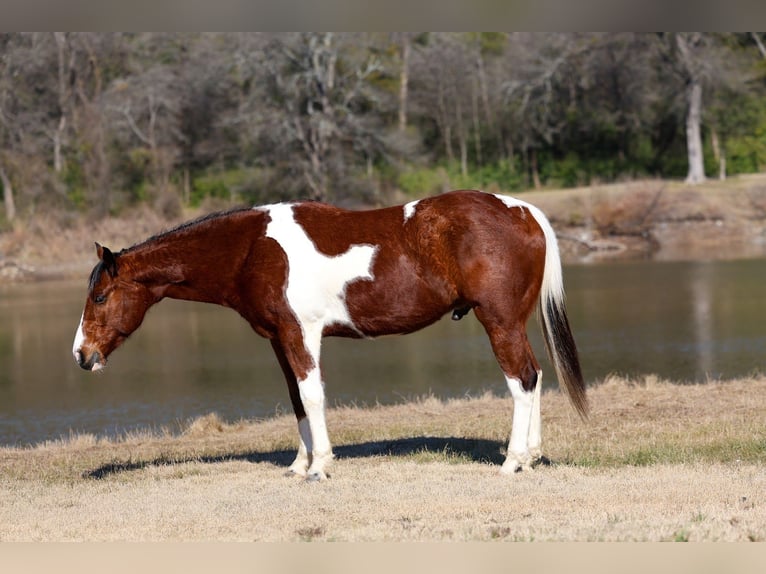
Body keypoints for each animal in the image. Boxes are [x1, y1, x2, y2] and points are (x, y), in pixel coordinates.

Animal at [72, 189, 587, 481]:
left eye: (99, 296)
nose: (82, 354)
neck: (251, 249)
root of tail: (523, 212)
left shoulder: (301, 333)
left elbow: (313, 395)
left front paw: (320, 466)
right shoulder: (278, 338)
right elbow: (296, 400)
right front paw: (299, 464)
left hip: (498, 321)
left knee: (520, 380)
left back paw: (513, 461)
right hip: (513, 323)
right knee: (535, 377)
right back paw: (532, 455)